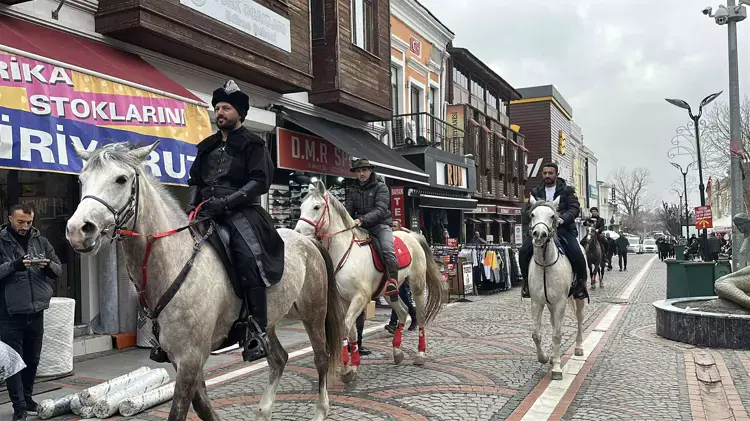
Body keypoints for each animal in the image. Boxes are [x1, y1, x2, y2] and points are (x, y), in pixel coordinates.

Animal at [65, 142, 346, 421]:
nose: (78, 230)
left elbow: (181, 410)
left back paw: (321, 411)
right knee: (279, 358)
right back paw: (264, 410)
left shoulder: (191, 356)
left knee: (321, 357)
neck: (174, 262)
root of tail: (308, 240)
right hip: (270, 321)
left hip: (313, 312)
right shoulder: (181, 358)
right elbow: (203, 406)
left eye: (121, 179)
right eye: (81, 179)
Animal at [295, 181, 445, 383]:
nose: (297, 234)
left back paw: (420, 355)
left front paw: (348, 368)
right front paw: (351, 366)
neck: (345, 252)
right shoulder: (343, 300)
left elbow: (346, 325)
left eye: (316, 207)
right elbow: (349, 330)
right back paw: (397, 352)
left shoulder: (361, 297)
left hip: (417, 285)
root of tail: (412, 235)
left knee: (420, 315)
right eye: (301, 207)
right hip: (389, 292)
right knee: (402, 312)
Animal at [527, 196, 585, 380]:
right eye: (532, 214)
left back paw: (579, 348)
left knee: (579, 318)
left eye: (552, 216)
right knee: (553, 323)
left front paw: (557, 368)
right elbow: (536, 334)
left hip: (578, 297)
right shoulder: (537, 303)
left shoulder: (560, 303)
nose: (539, 235)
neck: (546, 263)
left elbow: (557, 334)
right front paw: (545, 357)